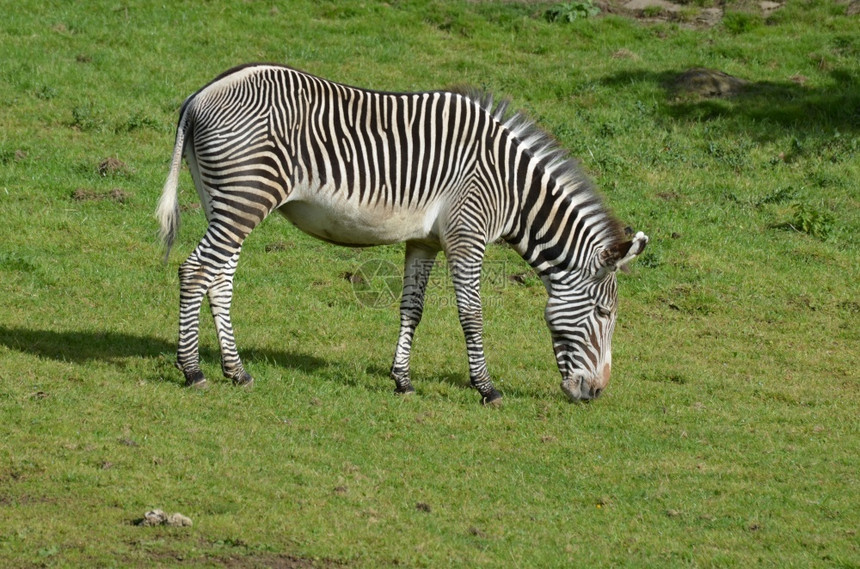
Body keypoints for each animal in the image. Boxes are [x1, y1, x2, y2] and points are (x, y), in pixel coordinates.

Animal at [156, 64, 644, 404]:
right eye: (604, 313)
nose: (596, 393)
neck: (512, 187)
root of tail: (199, 96)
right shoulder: (467, 236)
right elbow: (471, 314)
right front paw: (486, 388)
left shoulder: (424, 240)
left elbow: (413, 309)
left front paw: (403, 380)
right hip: (245, 198)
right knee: (194, 272)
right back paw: (192, 371)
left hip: (224, 202)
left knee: (219, 280)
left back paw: (236, 371)